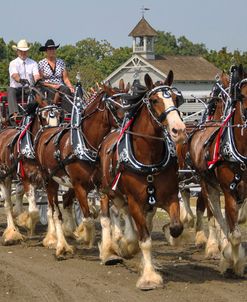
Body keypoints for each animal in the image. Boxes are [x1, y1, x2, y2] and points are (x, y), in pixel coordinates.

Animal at [97, 71, 186, 290]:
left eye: (175, 98)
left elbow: (176, 226)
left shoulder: (170, 196)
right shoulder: (135, 200)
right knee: (107, 218)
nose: (179, 130)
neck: (150, 159)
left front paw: (170, 235)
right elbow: (145, 240)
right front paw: (149, 278)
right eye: (154, 100)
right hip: (107, 190)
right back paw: (111, 251)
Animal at [188, 65, 246, 278]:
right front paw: (233, 262)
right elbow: (233, 233)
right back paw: (219, 249)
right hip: (207, 185)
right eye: (241, 96)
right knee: (215, 215)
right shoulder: (228, 191)